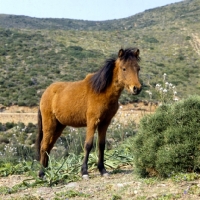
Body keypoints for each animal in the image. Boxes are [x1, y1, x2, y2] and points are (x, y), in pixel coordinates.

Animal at [36, 47, 142, 179]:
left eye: (138, 68)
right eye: (124, 68)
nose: (137, 88)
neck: (101, 91)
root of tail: (45, 93)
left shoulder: (105, 123)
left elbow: (101, 145)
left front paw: (103, 170)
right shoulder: (92, 121)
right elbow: (88, 145)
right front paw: (84, 172)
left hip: (59, 126)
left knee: (48, 147)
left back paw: (47, 171)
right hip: (49, 125)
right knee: (44, 146)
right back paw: (42, 174)